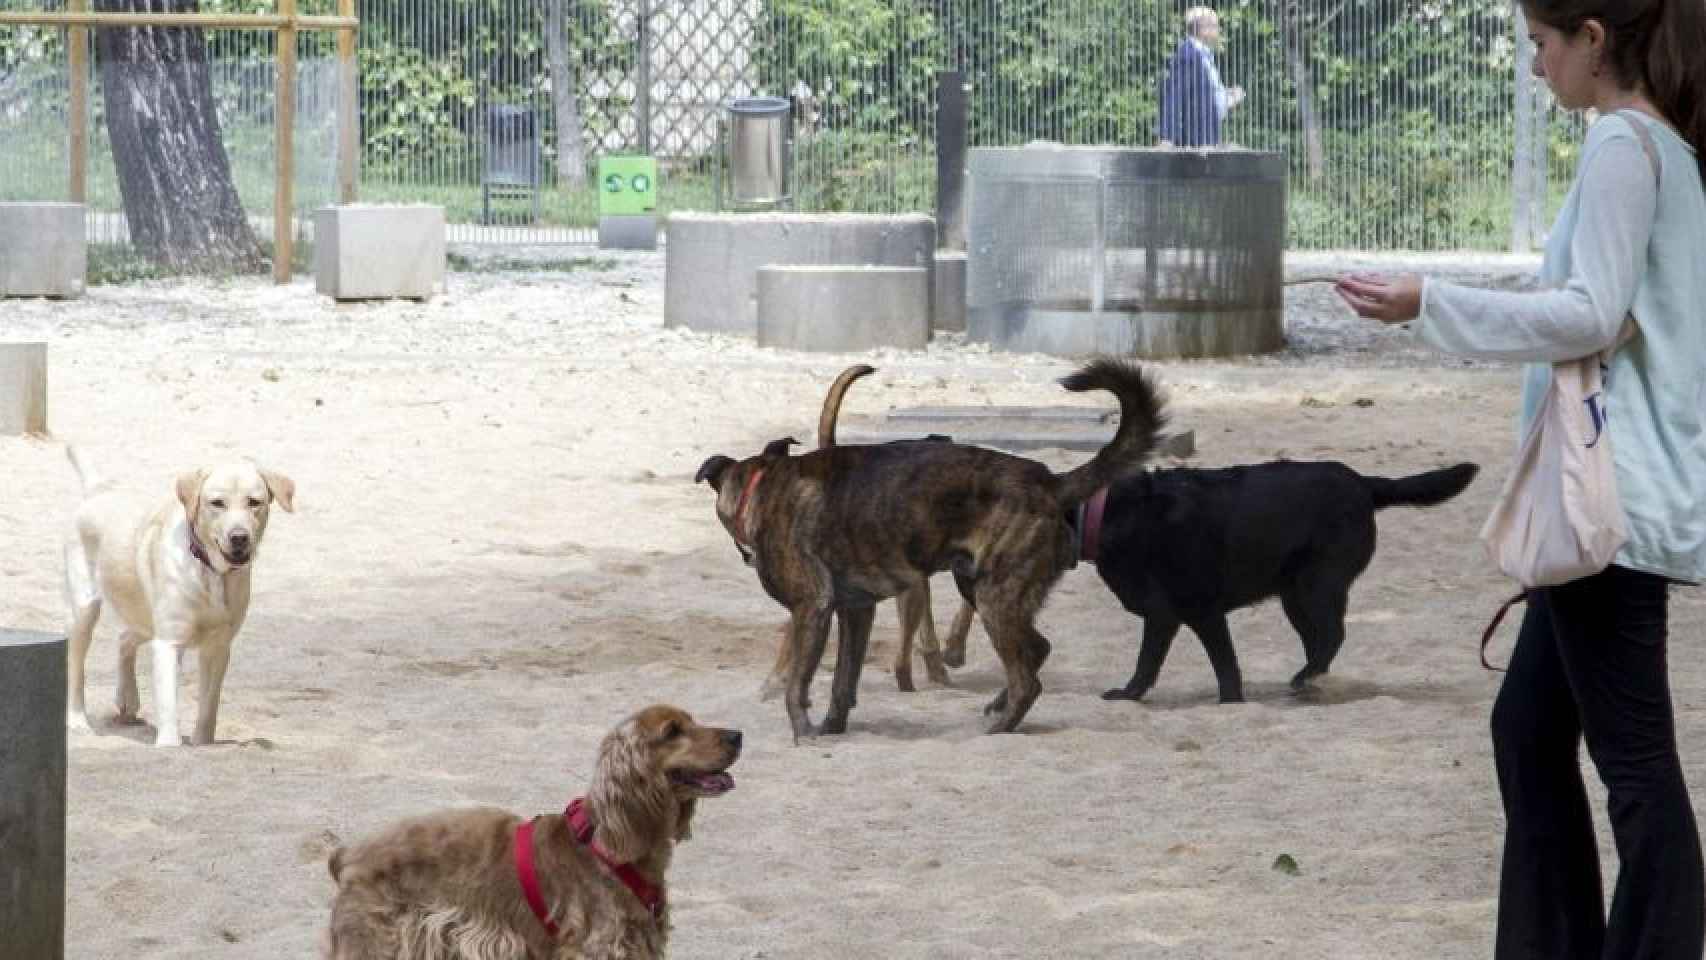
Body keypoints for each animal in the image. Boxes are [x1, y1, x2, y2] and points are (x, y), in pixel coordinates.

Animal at [63, 446, 295, 746]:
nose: (239, 537)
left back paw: (127, 700)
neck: (211, 572)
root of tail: (99, 489)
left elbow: (209, 707)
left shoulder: (218, 647)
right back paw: (78, 720)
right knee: (76, 665)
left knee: (124, 638)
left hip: (146, 619)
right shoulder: (169, 643)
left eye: (254, 502)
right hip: (85, 610)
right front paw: (169, 744)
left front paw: (201, 742)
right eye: (217, 503)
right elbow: (168, 702)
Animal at [692, 356, 1160, 740]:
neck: (763, 487)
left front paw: (803, 732)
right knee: (1036, 650)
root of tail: (1050, 481)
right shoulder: (856, 611)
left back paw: (999, 727)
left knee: (1029, 679)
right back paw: (998, 706)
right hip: (980, 587)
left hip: (994, 597)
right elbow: (843, 681)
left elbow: (797, 685)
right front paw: (831, 729)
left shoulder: (813, 607)